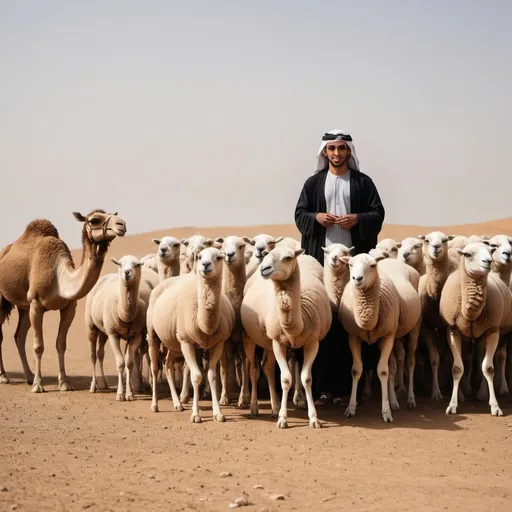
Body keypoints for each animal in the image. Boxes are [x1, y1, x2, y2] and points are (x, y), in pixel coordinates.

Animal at [0, 208, 126, 392]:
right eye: (94, 220)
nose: (121, 224)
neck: (59, 278)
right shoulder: (36, 304)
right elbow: (39, 346)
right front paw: (38, 385)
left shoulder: (69, 307)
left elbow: (61, 344)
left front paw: (64, 383)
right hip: (5, 300)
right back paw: (4, 376)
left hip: (24, 306)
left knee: (19, 336)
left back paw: (29, 376)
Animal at [147, 246, 233, 422]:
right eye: (200, 257)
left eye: (219, 257)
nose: (206, 265)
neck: (204, 324)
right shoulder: (187, 342)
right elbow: (197, 376)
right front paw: (195, 415)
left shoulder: (217, 343)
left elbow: (212, 376)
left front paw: (218, 413)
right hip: (154, 335)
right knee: (155, 367)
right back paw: (155, 405)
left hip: (174, 343)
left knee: (167, 364)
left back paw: (177, 404)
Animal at [241, 245, 332, 428]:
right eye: (267, 254)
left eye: (288, 258)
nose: (264, 268)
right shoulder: (278, 342)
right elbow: (285, 379)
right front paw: (283, 418)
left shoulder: (313, 342)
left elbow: (306, 378)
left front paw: (313, 418)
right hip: (251, 337)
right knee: (254, 369)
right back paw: (254, 407)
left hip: (269, 341)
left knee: (267, 367)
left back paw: (275, 407)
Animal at [438, 241, 512, 416]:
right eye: (467, 254)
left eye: (491, 250)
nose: (488, 262)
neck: (470, 313)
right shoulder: (453, 330)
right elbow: (457, 368)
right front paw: (452, 405)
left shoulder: (492, 330)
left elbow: (489, 368)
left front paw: (495, 406)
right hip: (473, 336)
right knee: (473, 359)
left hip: (495, 333)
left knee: (494, 359)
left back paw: (486, 392)